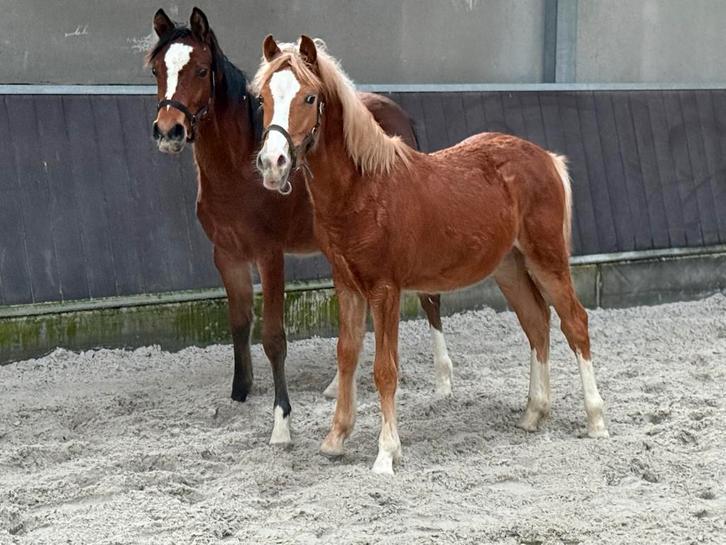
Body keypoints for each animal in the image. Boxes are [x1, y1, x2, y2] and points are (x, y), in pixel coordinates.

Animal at [147, 8, 453, 445]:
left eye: (202, 70)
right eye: (158, 69)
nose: (168, 131)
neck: (238, 171)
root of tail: (396, 116)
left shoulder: (269, 255)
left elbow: (274, 337)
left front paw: (281, 423)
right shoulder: (226, 255)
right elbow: (239, 323)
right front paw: (240, 393)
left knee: (430, 298)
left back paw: (444, 381)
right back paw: (336, 385)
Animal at [253, 36, 609, 474]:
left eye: (309, 97)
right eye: (263, 98)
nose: (272, 163)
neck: (363, 190)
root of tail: (547, 158)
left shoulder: (385, 291)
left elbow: (384, 370)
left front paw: (386, 454)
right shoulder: (347, 286)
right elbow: (347, 357)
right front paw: (335, 439)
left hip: (548, 261)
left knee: (574, 322)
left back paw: (595, 420)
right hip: (509, 268)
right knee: (537, 323)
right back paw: (533, 413)